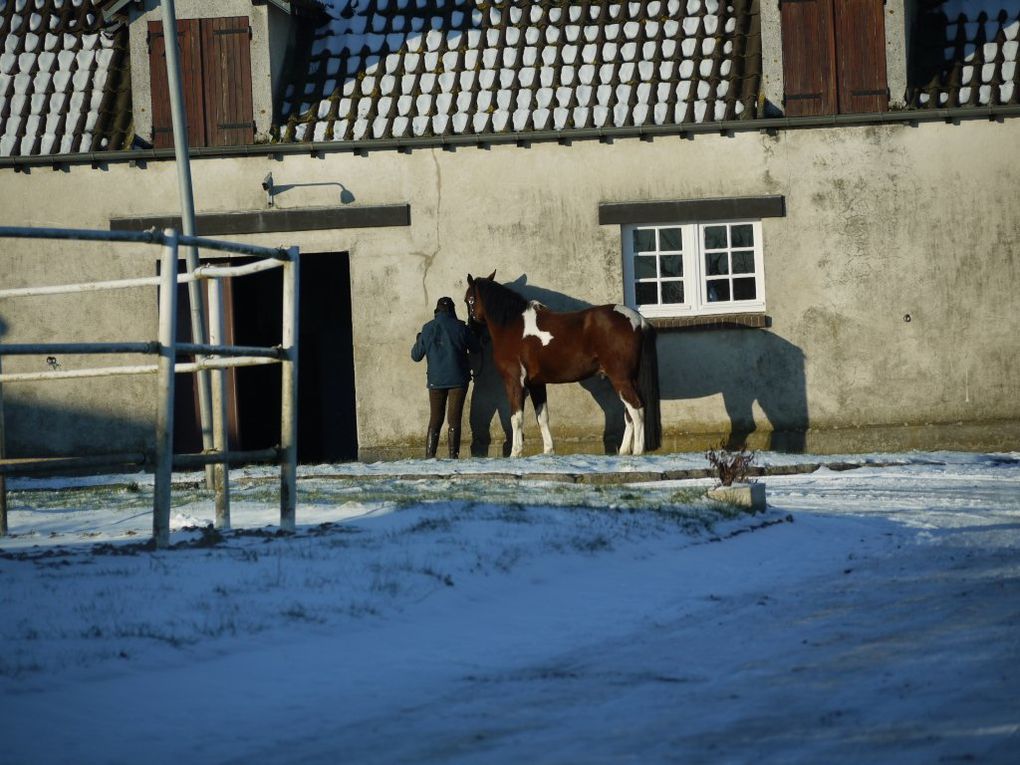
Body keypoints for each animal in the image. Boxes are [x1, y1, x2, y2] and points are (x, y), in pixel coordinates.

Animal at [467, 273, 665, 459]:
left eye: (469, 299)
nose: (472, 330)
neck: (512, 326)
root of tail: (639, 320)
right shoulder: (536, 384)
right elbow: (543, 417)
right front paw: (548, 451)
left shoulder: (514, 381)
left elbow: (516, 418)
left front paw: (515, 453)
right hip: (629, 379)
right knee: (629, 413)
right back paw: (624, 451)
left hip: (620, 378)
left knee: (637, 409)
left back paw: (638, 451)